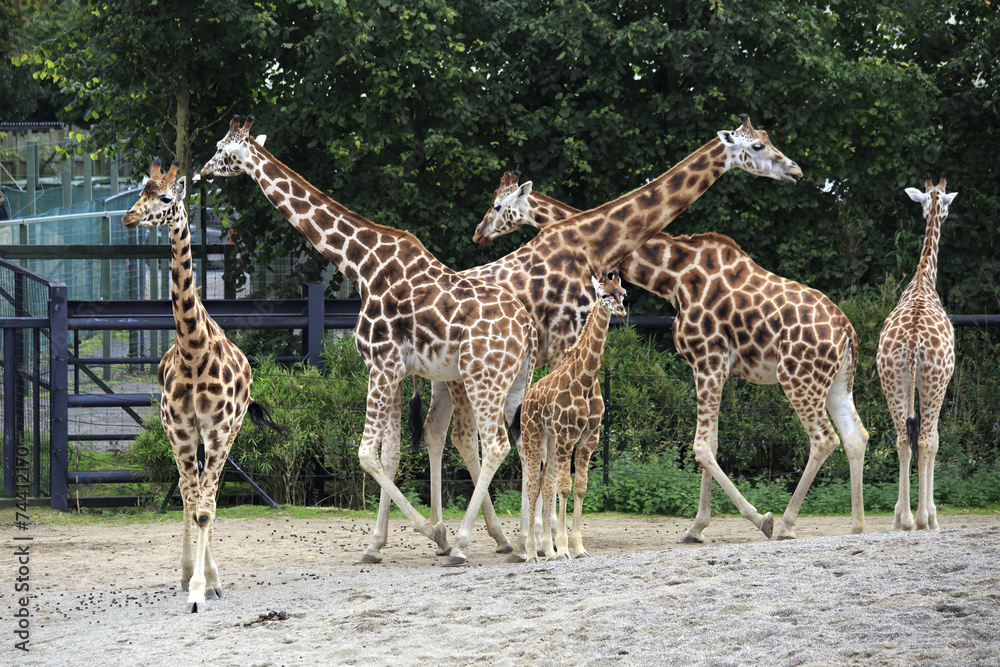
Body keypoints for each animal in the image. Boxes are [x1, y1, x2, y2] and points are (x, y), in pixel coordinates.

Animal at [123, 159, 285, 612]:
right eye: (139, 192)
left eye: (165, 197)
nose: (129, 218)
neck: (193, 352)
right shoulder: (180, 431)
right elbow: (195, 501)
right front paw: (194, 582)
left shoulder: (217, 431)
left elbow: (207, 509)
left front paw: (204, 588)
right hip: (183, 436)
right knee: (187, 490)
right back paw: (187, 574)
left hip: (230, 432)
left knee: (203, 496)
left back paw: (208, 578)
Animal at [200, 116, 537, 566]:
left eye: (222, 149)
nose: (202, 171)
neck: (362, 265)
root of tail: (528, 327)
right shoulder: (394, 370)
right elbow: (390, 454)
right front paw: (379, 544)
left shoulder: (381, 365)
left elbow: (365, 453)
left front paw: (434, 533)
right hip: (515, 381)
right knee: (520, 441)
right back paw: (524, 544)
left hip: (483, 379)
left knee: (497, 445)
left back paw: (465, 545)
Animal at [510, 271, 628, 562]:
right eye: (602, 294)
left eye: (623, 293)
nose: (621, 310)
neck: (586, 379)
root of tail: (526, 400)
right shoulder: (567, 436)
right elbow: (564, 487)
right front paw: (563, 547)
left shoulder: (589, 439)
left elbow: (580, 487)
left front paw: (577, 548)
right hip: (535, 436)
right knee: (533, 483)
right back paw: (531, 551)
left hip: (551, 441)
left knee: (544, 482)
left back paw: (546, 550)